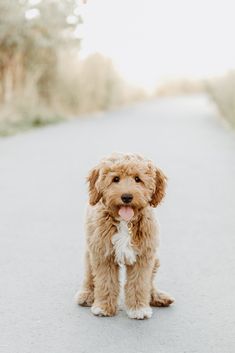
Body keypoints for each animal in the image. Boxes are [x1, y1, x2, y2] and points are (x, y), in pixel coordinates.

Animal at [75, 153, 174, 318]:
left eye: (137, 179)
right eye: (115, 179)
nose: (126, 197)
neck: (125, 223)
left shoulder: (144, 256)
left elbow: (140, 283)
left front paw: (138, 308)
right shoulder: (103, 255)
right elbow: (105, 281)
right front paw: (103, 307)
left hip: (155, 260)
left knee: (150, 283)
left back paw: (157, 296)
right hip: (90, 254)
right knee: (89, 276)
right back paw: (86, 294)